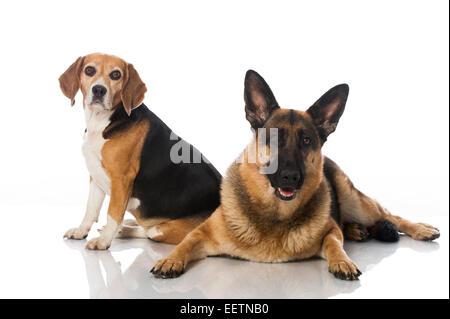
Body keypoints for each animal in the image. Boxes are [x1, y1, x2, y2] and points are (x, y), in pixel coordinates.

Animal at [59, 53, 221, 251]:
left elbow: (113, 213)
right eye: (89, 70)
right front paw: (81, 231)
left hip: (166, 230)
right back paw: (125, 228)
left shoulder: (121, 179)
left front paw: (104, 241)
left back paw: (122, 230)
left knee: (149, 232)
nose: (99, 90)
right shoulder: (95, 175)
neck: (102, 122)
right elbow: (91, 209)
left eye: (116, 74)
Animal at [151, 69, 440, 280]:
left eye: (306, 140)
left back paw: (421, 229)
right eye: (274, 138)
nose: (291, 177)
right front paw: (170, 260)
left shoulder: (330, 231)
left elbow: (334, 242)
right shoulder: (202, 233)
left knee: (390, 215)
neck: (274, 215)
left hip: (356, 201)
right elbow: (186, 242)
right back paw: (357, 231)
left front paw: (342, 261)